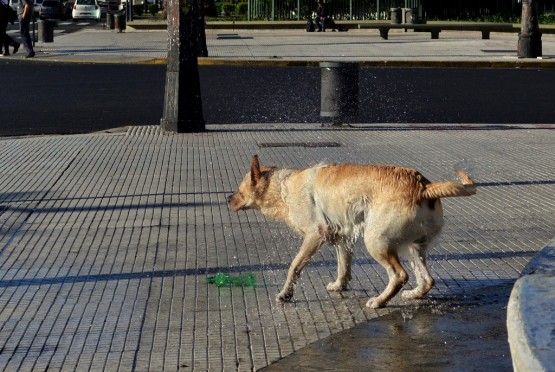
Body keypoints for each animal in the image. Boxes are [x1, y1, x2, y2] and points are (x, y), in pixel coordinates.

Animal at [228, 155, 476, 308]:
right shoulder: (342, 238)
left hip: (376, 241)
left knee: (399, 275)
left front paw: (286, 294)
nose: (227, 198)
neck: (283, 186)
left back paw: (379, 301)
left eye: (239, 190)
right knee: (427, 279)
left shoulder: (314, 235)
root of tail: (424, 186)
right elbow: (343, 266)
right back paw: (414, 294)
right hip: (413, 247)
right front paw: (340, 285)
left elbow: (294, 267)